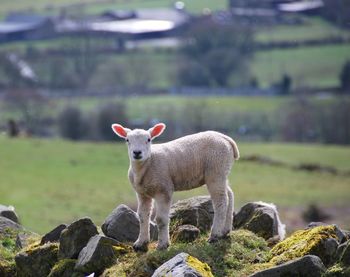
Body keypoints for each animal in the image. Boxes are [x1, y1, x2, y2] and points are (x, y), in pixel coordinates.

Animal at [110, 123, 239, 250]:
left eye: (149, 139)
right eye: (127, 140)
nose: (137, 153)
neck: (148, 163)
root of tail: (225, 138)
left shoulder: (164, 189)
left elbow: (161, 219)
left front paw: (163, 244)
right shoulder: (142, 193)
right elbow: (142, 216)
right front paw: (141, 242)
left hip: (216, 169)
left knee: (221, 202)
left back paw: (215, 235)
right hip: (222, 172)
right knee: (230, 195)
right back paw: (225, 230)